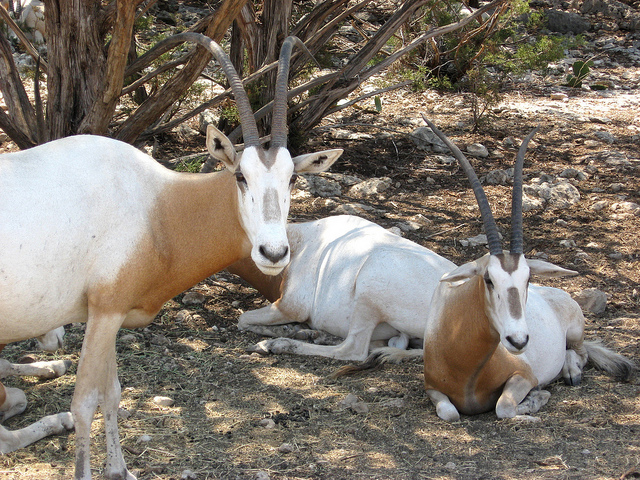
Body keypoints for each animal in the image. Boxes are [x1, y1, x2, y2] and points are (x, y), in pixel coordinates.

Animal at [0, 31, 340, 478]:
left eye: (293, 178)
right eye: (240, 175)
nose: (273, 251)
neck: (158, 205)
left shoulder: (110, 314)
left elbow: (111, 392)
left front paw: (120, 470)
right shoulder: (104, 310)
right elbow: (85, 402)